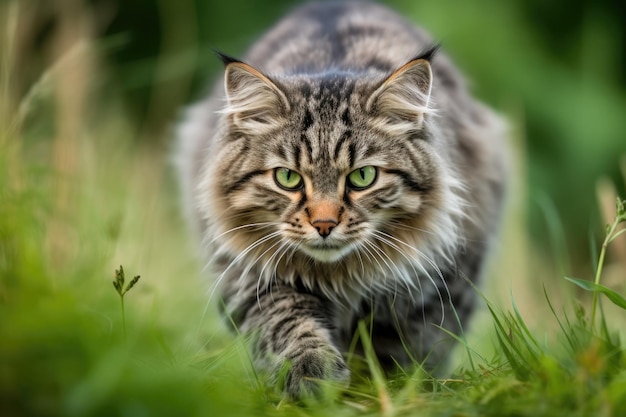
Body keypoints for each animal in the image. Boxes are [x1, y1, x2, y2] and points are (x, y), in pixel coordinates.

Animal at [173, 0, 504, 396]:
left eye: (363, 177)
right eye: (288, 178)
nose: (324, 223)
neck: (338, 277)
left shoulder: (433, 284)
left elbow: (399, 349)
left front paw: (384, 390)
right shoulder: (253, 276)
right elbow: (289, 324)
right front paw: (313, 377)